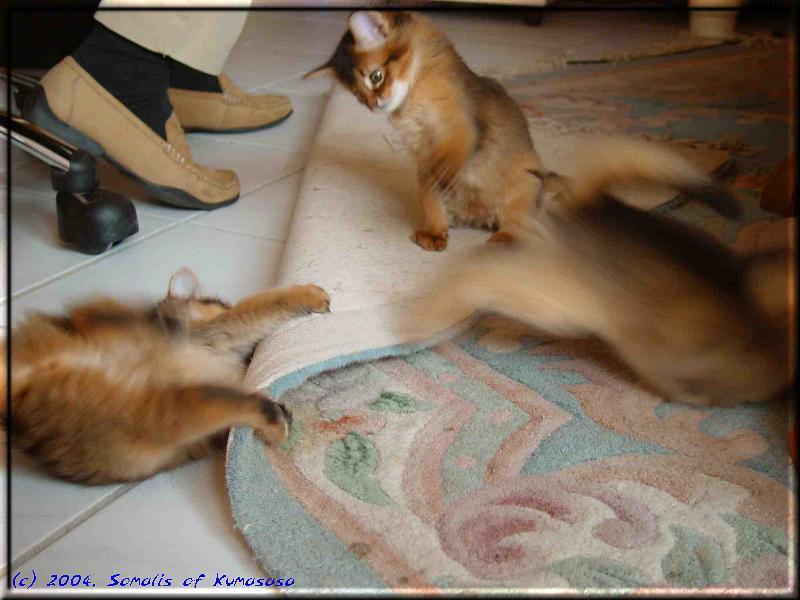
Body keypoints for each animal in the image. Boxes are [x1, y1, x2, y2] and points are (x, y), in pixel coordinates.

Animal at [0, 270, 332, 486]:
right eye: (218, 303)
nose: (251, 355)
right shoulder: (214, 333)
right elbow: (259, 305)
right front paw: (309, 294)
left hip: (136, 418)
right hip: (148, 414)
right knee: (233, 404)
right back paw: (278, 421)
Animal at [310, 11, 540, 251]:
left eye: (376, 76)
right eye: (358, 96)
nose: (374, 105)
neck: (414, 91)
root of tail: (480, 219)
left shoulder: (460, 124)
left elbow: (447, 160)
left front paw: (443, 175)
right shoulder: (421, 153)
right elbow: (428, 195)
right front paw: (433, 232)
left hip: (523, 183)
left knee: (519, 222)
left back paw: (505, 239)